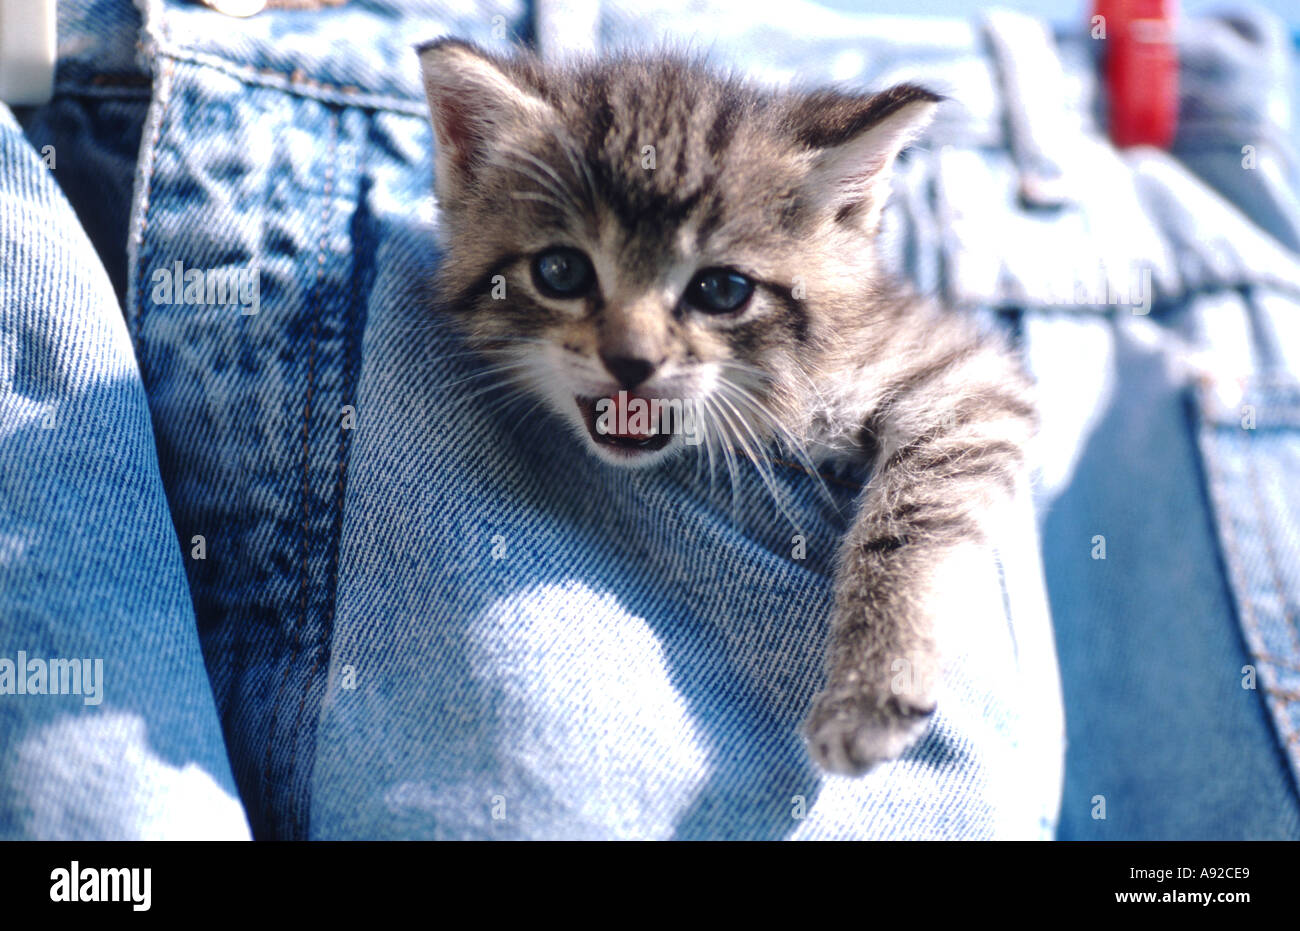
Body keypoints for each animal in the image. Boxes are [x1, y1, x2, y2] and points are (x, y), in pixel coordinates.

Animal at [416, 39, 1034, 774]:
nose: (632, 361)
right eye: (561, 272)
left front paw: (872, 682)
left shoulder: (966, 374)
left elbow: (914, 517)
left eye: (722, 290)